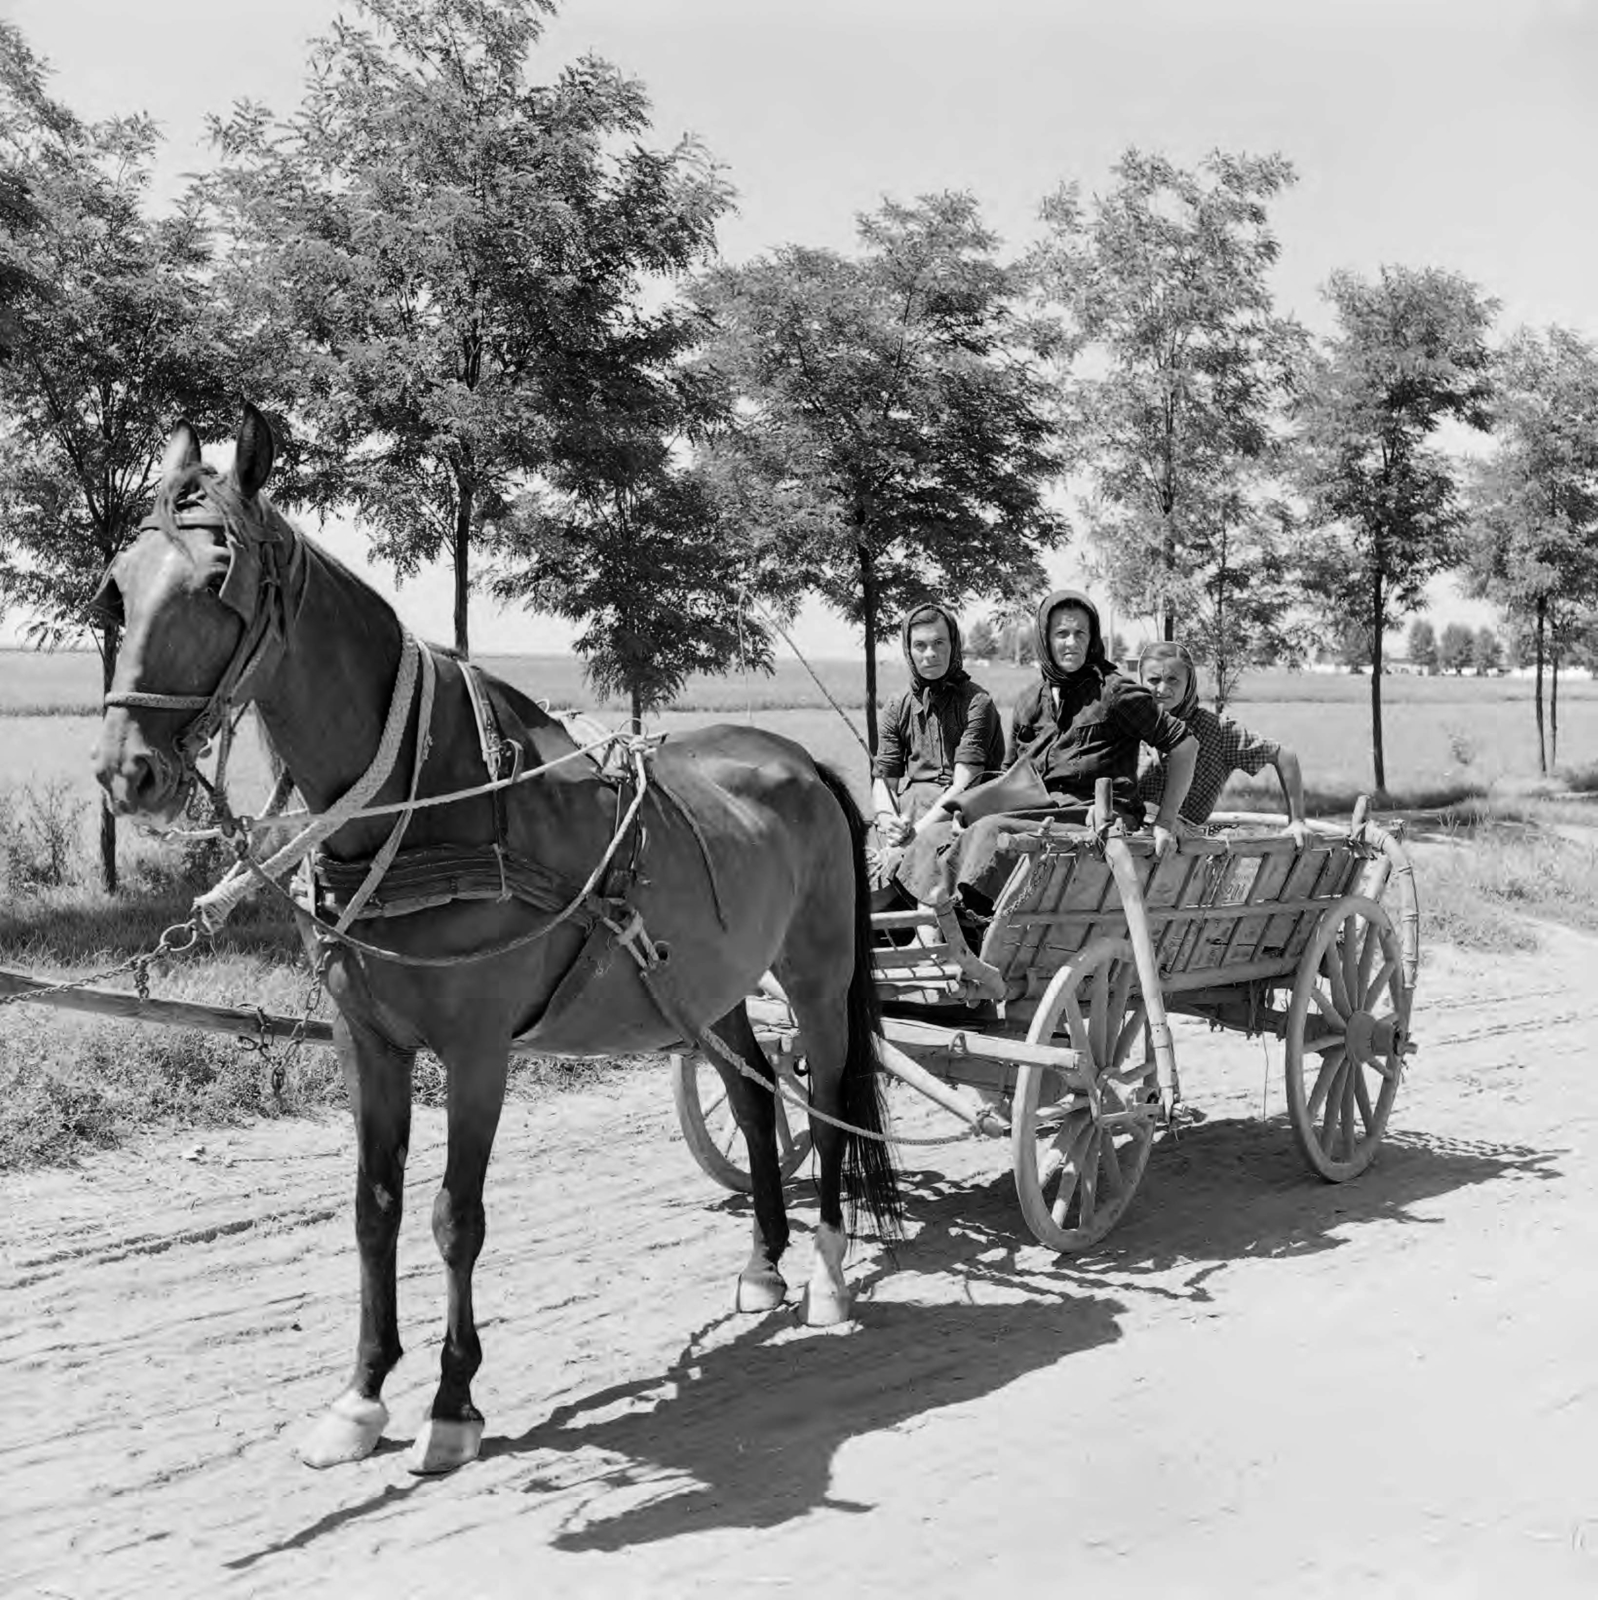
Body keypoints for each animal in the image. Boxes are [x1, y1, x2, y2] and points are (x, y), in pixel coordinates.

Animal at [90, 409, 902, 1472]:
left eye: (214, 581)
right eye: (120, 583)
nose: (126, 773)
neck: (429, 804)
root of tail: (805, 759)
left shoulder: (477, 1051)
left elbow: (455, 1216)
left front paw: (452, 1402)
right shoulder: (369, 1042)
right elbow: (375, 1209)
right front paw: (360, 1397)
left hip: (815, 974)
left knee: (834, 1101)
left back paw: (830, 1274)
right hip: (714, 984)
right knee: (759, 1098)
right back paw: (766, 1262)